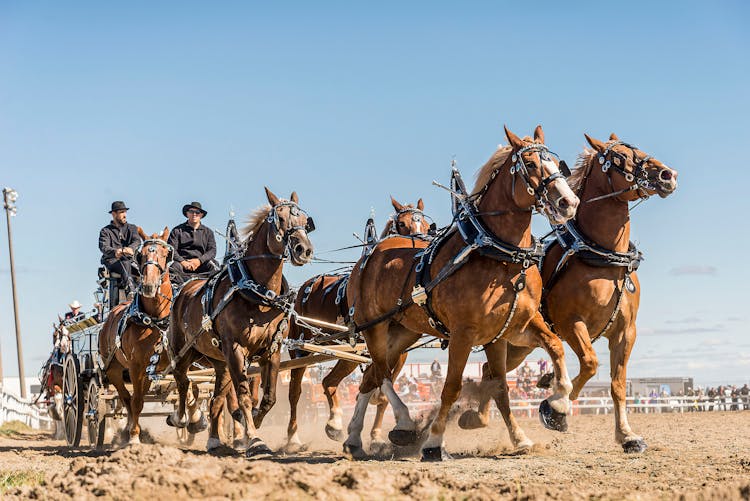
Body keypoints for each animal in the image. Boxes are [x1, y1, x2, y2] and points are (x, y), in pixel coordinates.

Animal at [98, 229, 175, 444]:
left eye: (165, 254)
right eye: (140, 256)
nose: (148, 286)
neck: (154, 320)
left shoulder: (154, 367)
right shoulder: (135, 366)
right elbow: (137, 401)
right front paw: (134, 437)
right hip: (114, 369)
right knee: (126, 398)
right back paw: (128, 430)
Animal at [167, 186, 314, 456]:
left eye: (304, 220)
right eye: (280, 219)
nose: (304, 249)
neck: (258, 293)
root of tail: (184, 288)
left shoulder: (271, 350)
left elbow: (267, 398)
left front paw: (250, 424)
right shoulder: (236, 349)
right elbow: (244, 397)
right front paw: (254, 438)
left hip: (220, 362)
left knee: (215, 399)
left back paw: (214, 440)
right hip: (183, 352)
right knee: (182, 382)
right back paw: (184, 418)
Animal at [284, 196, 434, 454]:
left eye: (425, 225)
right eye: (402, 224)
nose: (423, 243)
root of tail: (303, 287)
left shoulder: (397, 352)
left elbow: (378, 391)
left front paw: (375, 436)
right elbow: (376, 384)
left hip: (347, 356)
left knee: (329, 382)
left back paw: (334, 424)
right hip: (301, 349)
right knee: (295, 392)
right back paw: (294, 437)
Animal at [344, 126, 580, 460]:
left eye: (558, 163)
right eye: (530, 164)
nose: (568, 202)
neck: (503, 257)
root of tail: (368, 256)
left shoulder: (511, 329)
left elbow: (526, 368)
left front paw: (547, 415)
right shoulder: (462, 334)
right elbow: (452, 387)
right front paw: (434, 442)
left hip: (403, 332)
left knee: (371, 377)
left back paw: (354, 437)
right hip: (373, 327)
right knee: (381, 374)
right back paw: (403, 422)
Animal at [458, 133, 680, 454]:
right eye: (619, 157)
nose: (667, 175)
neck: (605, 257)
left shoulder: (626, 331)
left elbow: (617, 384)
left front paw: (626, 435)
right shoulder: (570, 322)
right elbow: (589, 363)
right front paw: (555, 407)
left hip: (519, 346)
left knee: (489, 372)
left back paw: (477, 417)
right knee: (493, 373)